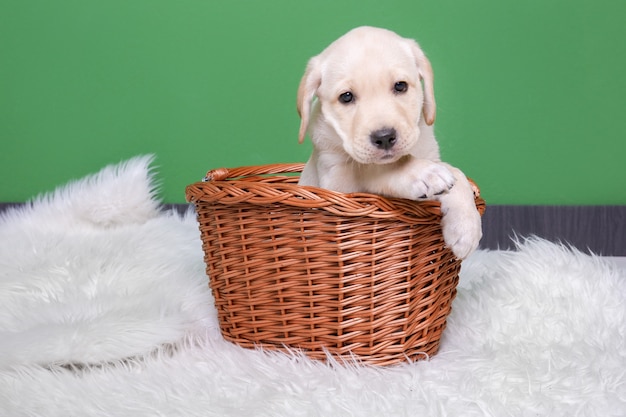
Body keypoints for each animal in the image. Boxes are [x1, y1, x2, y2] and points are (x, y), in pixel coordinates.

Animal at [294, 26, 480, 258]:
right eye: (346, 97)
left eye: (400, 86)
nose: (384, 137)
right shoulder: (336, 182)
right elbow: (370, 169)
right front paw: (422, 173)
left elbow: (456, 173)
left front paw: (466, 226)